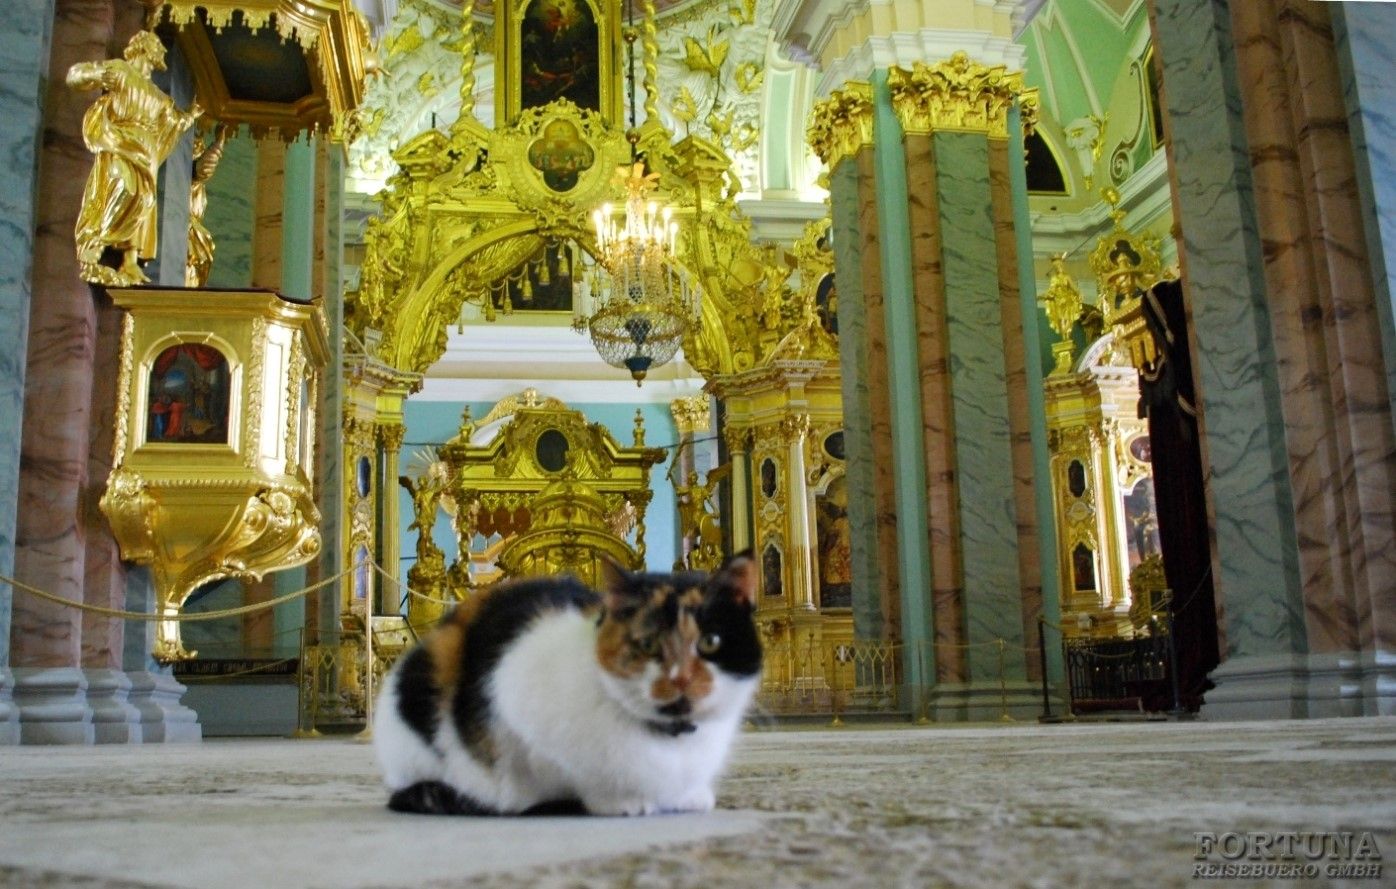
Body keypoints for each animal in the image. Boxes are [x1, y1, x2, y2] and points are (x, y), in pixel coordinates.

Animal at [373, 552, 761, 816]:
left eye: (710, 642)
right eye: (648, 644)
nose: (680, 678)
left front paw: (690, 797)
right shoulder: (510, 696)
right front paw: (622, 801)